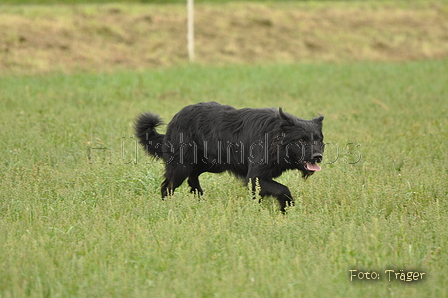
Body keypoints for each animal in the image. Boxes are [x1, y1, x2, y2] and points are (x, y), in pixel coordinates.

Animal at [135, 102, 324, 212]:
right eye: (301, 140)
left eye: (318, 140)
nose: (318, 157)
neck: (273, 138)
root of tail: (174, 120)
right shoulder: (255, 176)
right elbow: (283, 189)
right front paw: (287, 209)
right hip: (181, 166)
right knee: (167, 186)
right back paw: (167, 207)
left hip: (211, 163)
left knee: (193, 178)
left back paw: (200, 198)